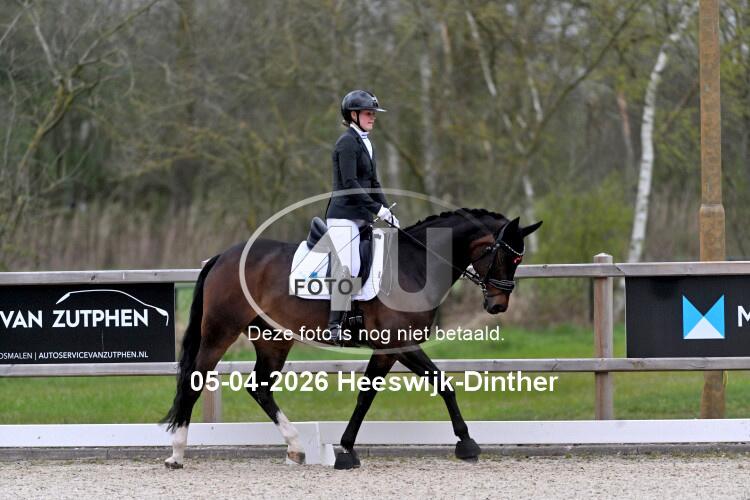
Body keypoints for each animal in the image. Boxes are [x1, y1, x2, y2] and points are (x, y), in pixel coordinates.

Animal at [162, 208, 542, 469]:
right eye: (506, 256)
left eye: (519, 259)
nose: (497, 305)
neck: (415, 264)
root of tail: (222, 256)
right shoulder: (397, 343)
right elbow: (431, 385)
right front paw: (466, 444)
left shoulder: (391, 348)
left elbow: (377, 394)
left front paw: (346, 449)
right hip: (219, 332)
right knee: (195, 380)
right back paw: (177, 454)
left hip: (272, 339)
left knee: (260, 388)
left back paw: (296, 448)